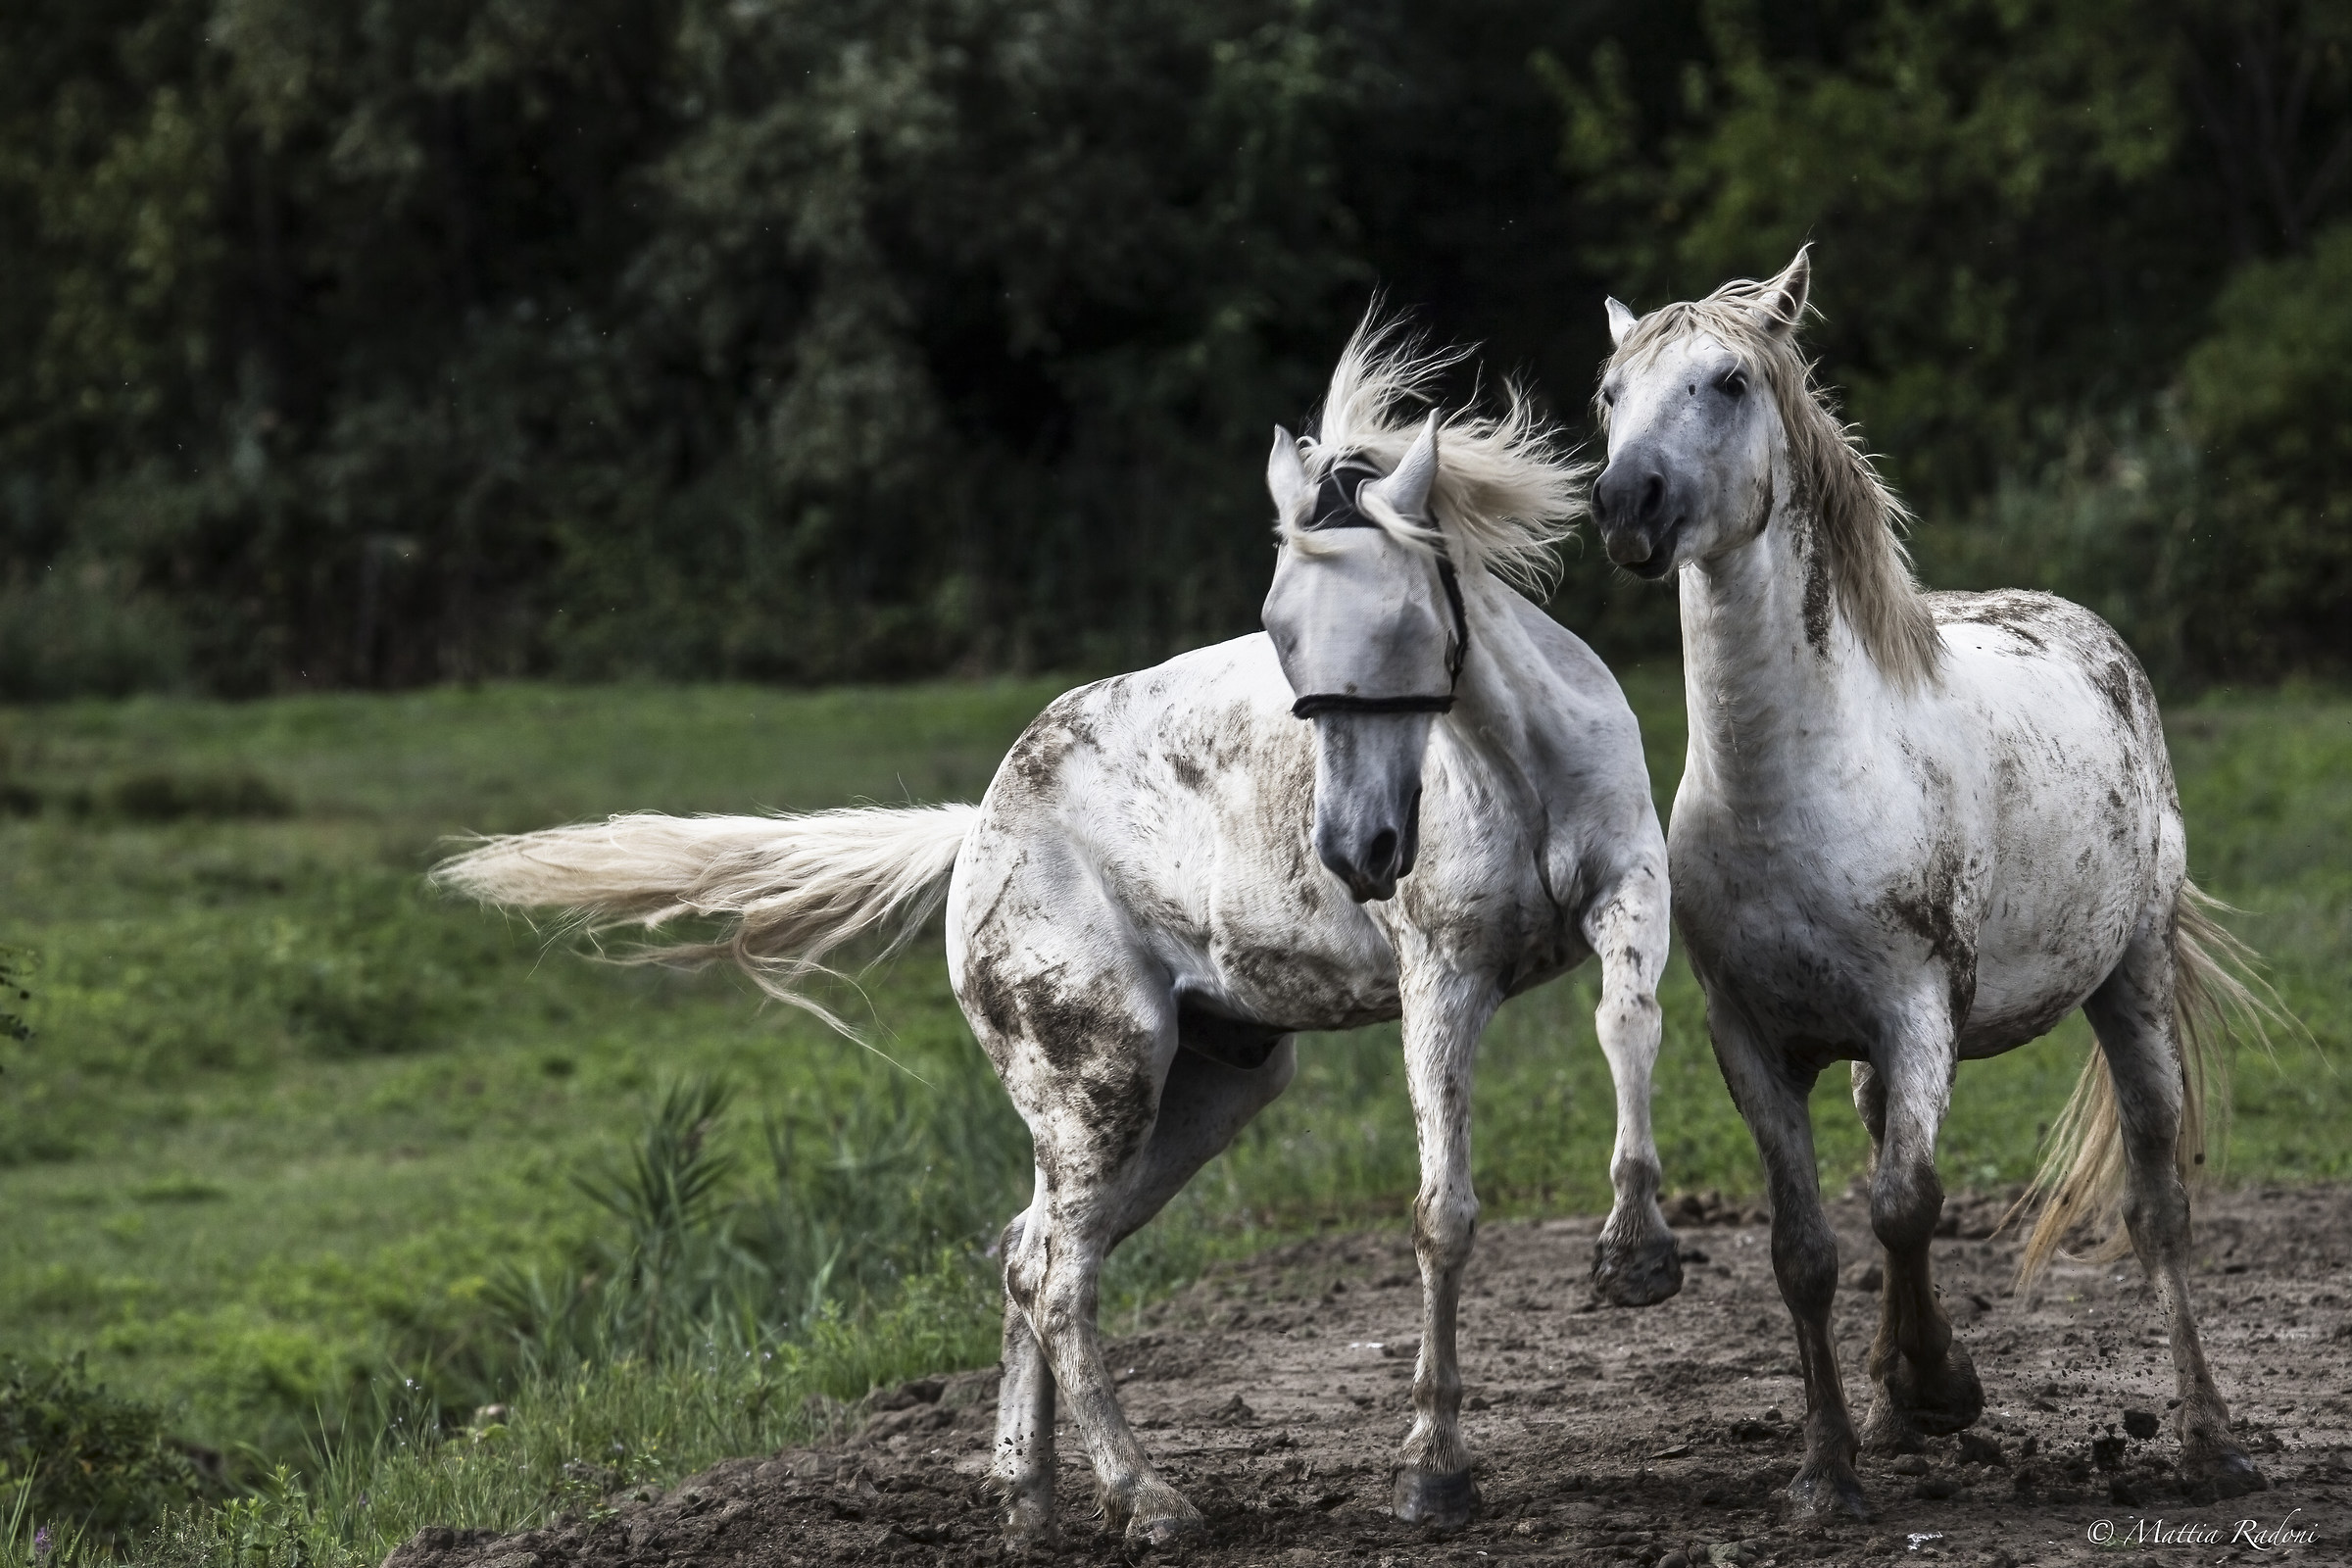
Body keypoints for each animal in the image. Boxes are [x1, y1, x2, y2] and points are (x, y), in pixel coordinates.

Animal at [435, 319, 1682, 1547]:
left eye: (1405, 618)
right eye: (1277, 627)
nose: (1359, 852)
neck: (1513, 767)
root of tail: (978, 826)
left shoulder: (1628, 894)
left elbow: (1628, 1029)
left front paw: (1639, 1253)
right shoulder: (1442, 980)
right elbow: (1444, 1215)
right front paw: (1431, 1467)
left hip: (1208, 1090)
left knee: (1023, 1249)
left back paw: (1026, 1500)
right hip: (1101, 1082)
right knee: (1054, 1273)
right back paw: (1147, 1499)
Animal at [1586, 249, 2281, 1519]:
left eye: (1728, 381)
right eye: (1612, 392)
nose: (1628, 503)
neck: (1797, 778)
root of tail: (2089, 632)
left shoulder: (1918, 1016)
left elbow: (1907, 1202)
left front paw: (1941, 1383)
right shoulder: (1748, 1037)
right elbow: (1806, 1251)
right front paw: (1832, 1465)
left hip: (2132, 980)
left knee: (2156, 1203)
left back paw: (2211, 1442)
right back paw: (1888, 1412)